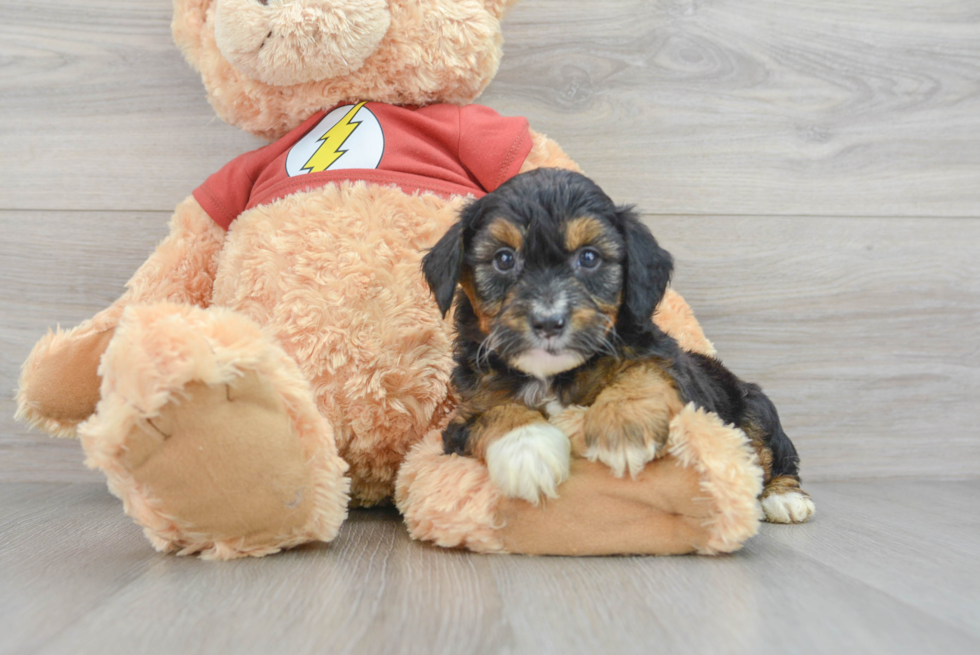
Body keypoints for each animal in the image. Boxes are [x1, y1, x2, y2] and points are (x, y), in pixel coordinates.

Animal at [424, 168, 816, 524]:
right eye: (504, 259)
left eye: (589, 258)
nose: (548, 322)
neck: (553, 375)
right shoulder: (465, 412)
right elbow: (494, 412)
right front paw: (529, 453)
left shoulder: (664, 361)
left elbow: (644, 372)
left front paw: (624, 428)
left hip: (754, 407)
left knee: (773, 452)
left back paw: (785, 497)